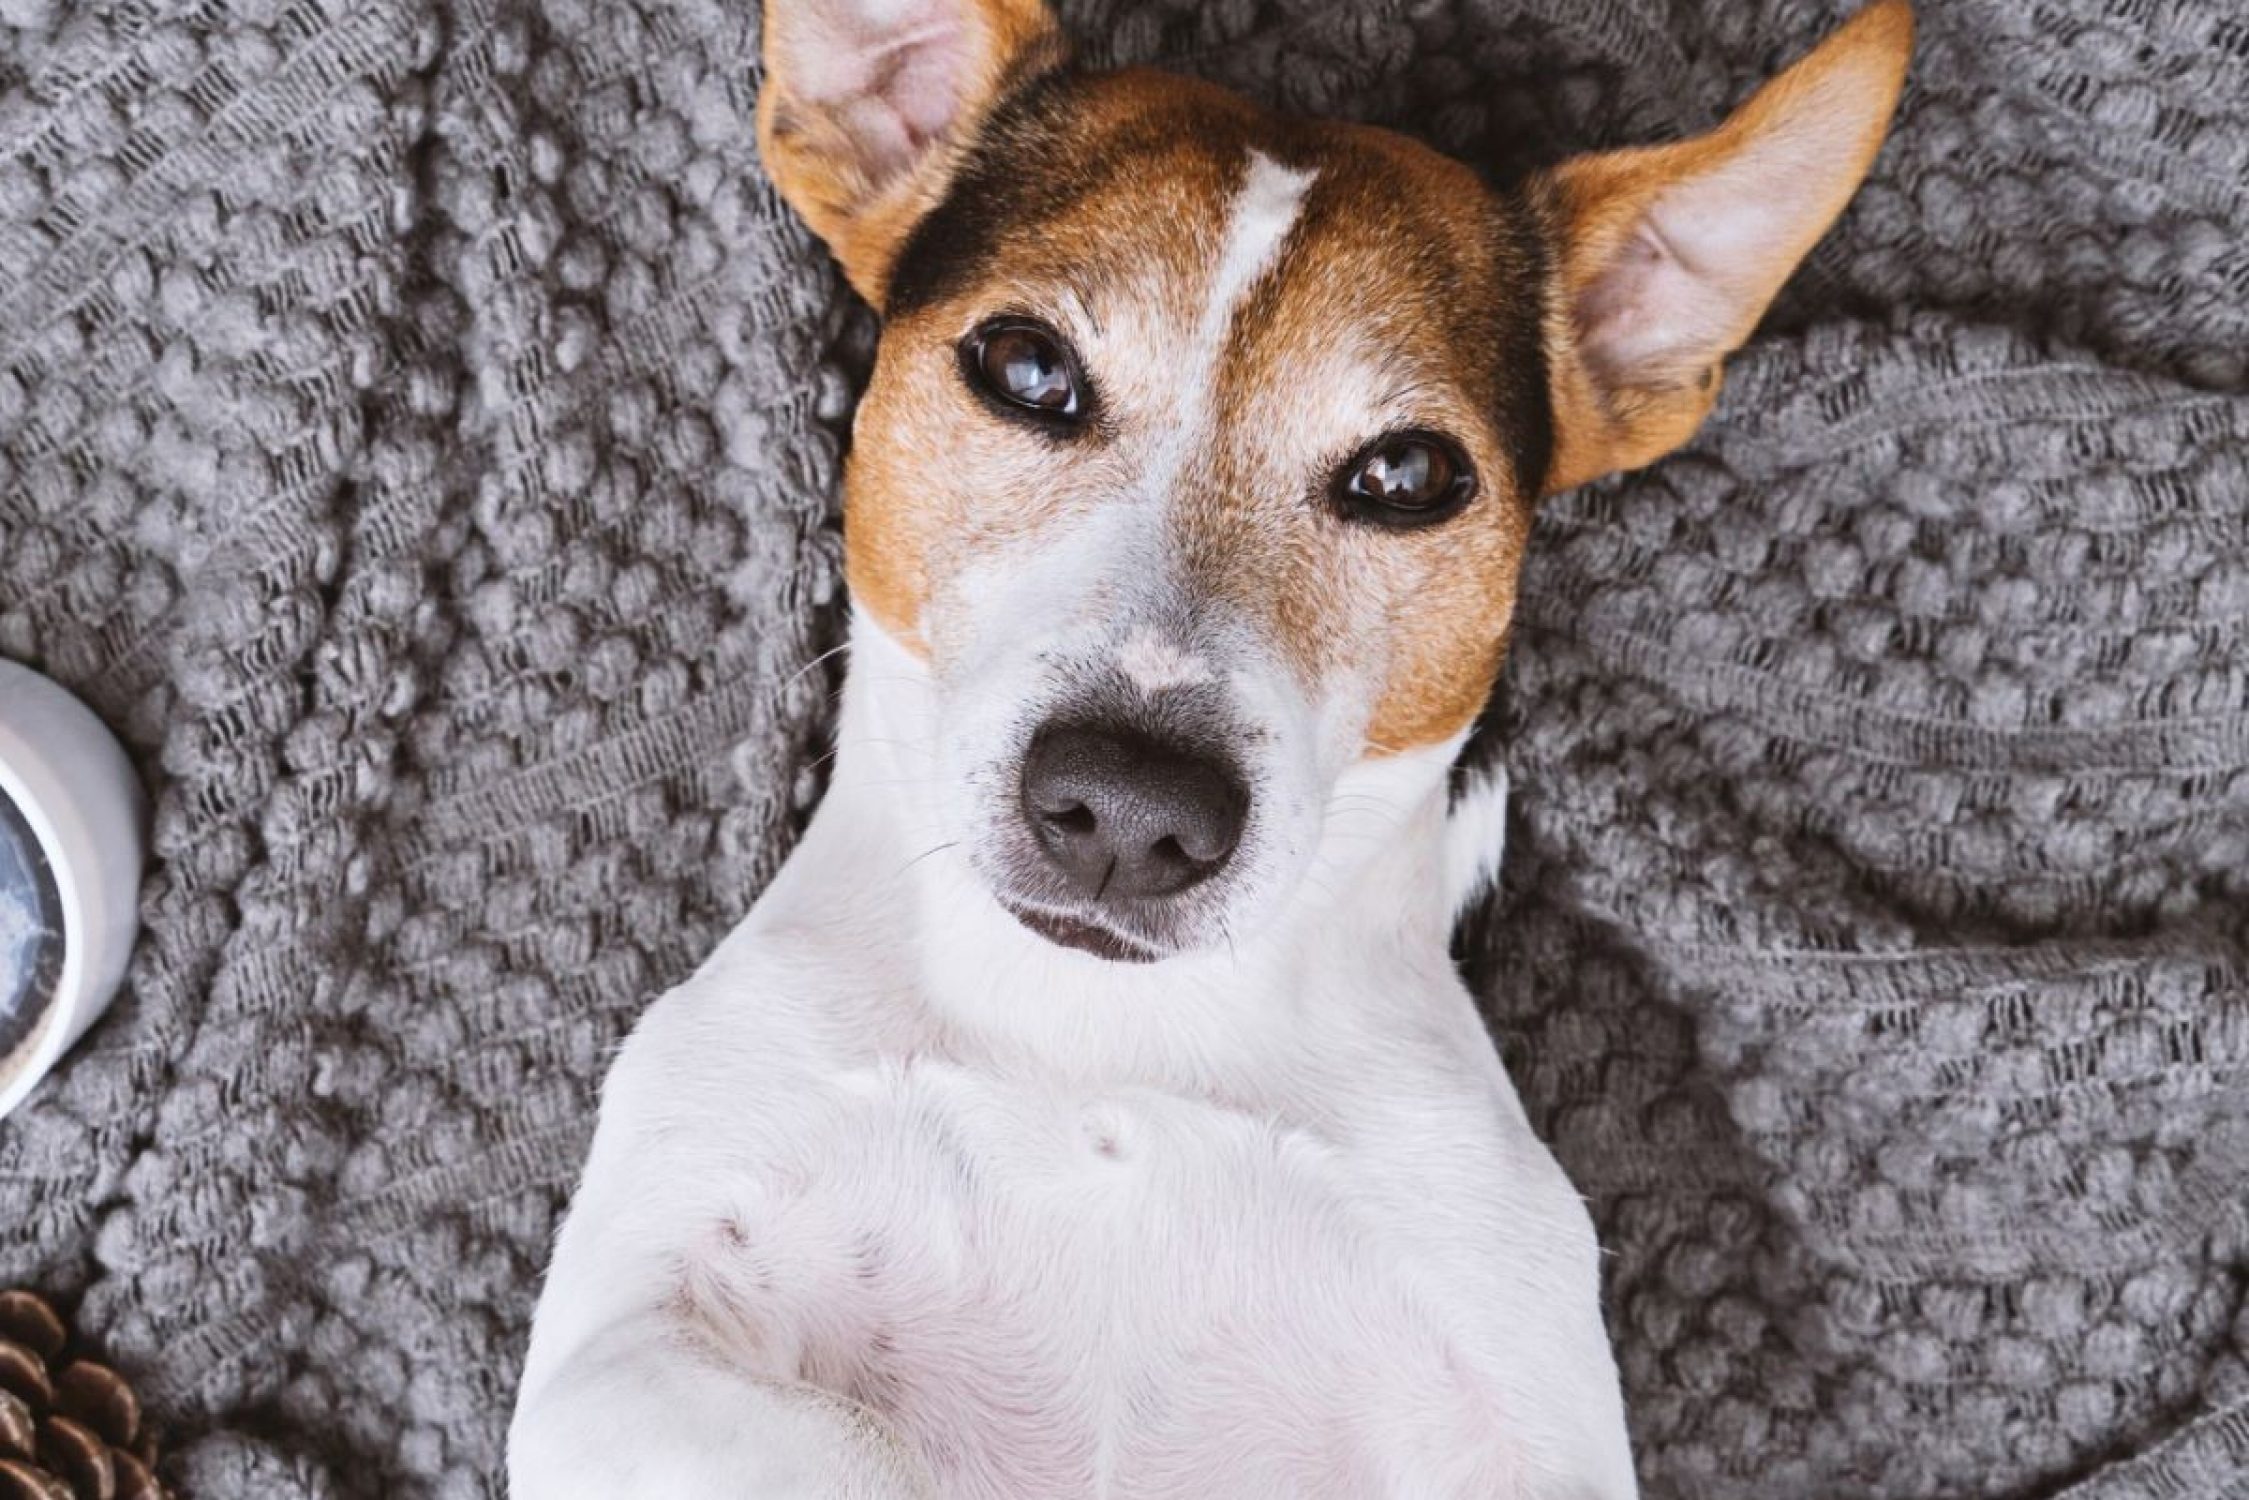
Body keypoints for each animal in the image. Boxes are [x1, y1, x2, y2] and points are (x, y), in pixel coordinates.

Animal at [515, 2, 1916, 1493]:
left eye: (1406, 476)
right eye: (1026, 368)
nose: (1132, 806)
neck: (1093, 1033)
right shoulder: (624, 1346)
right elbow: (846, 1450)